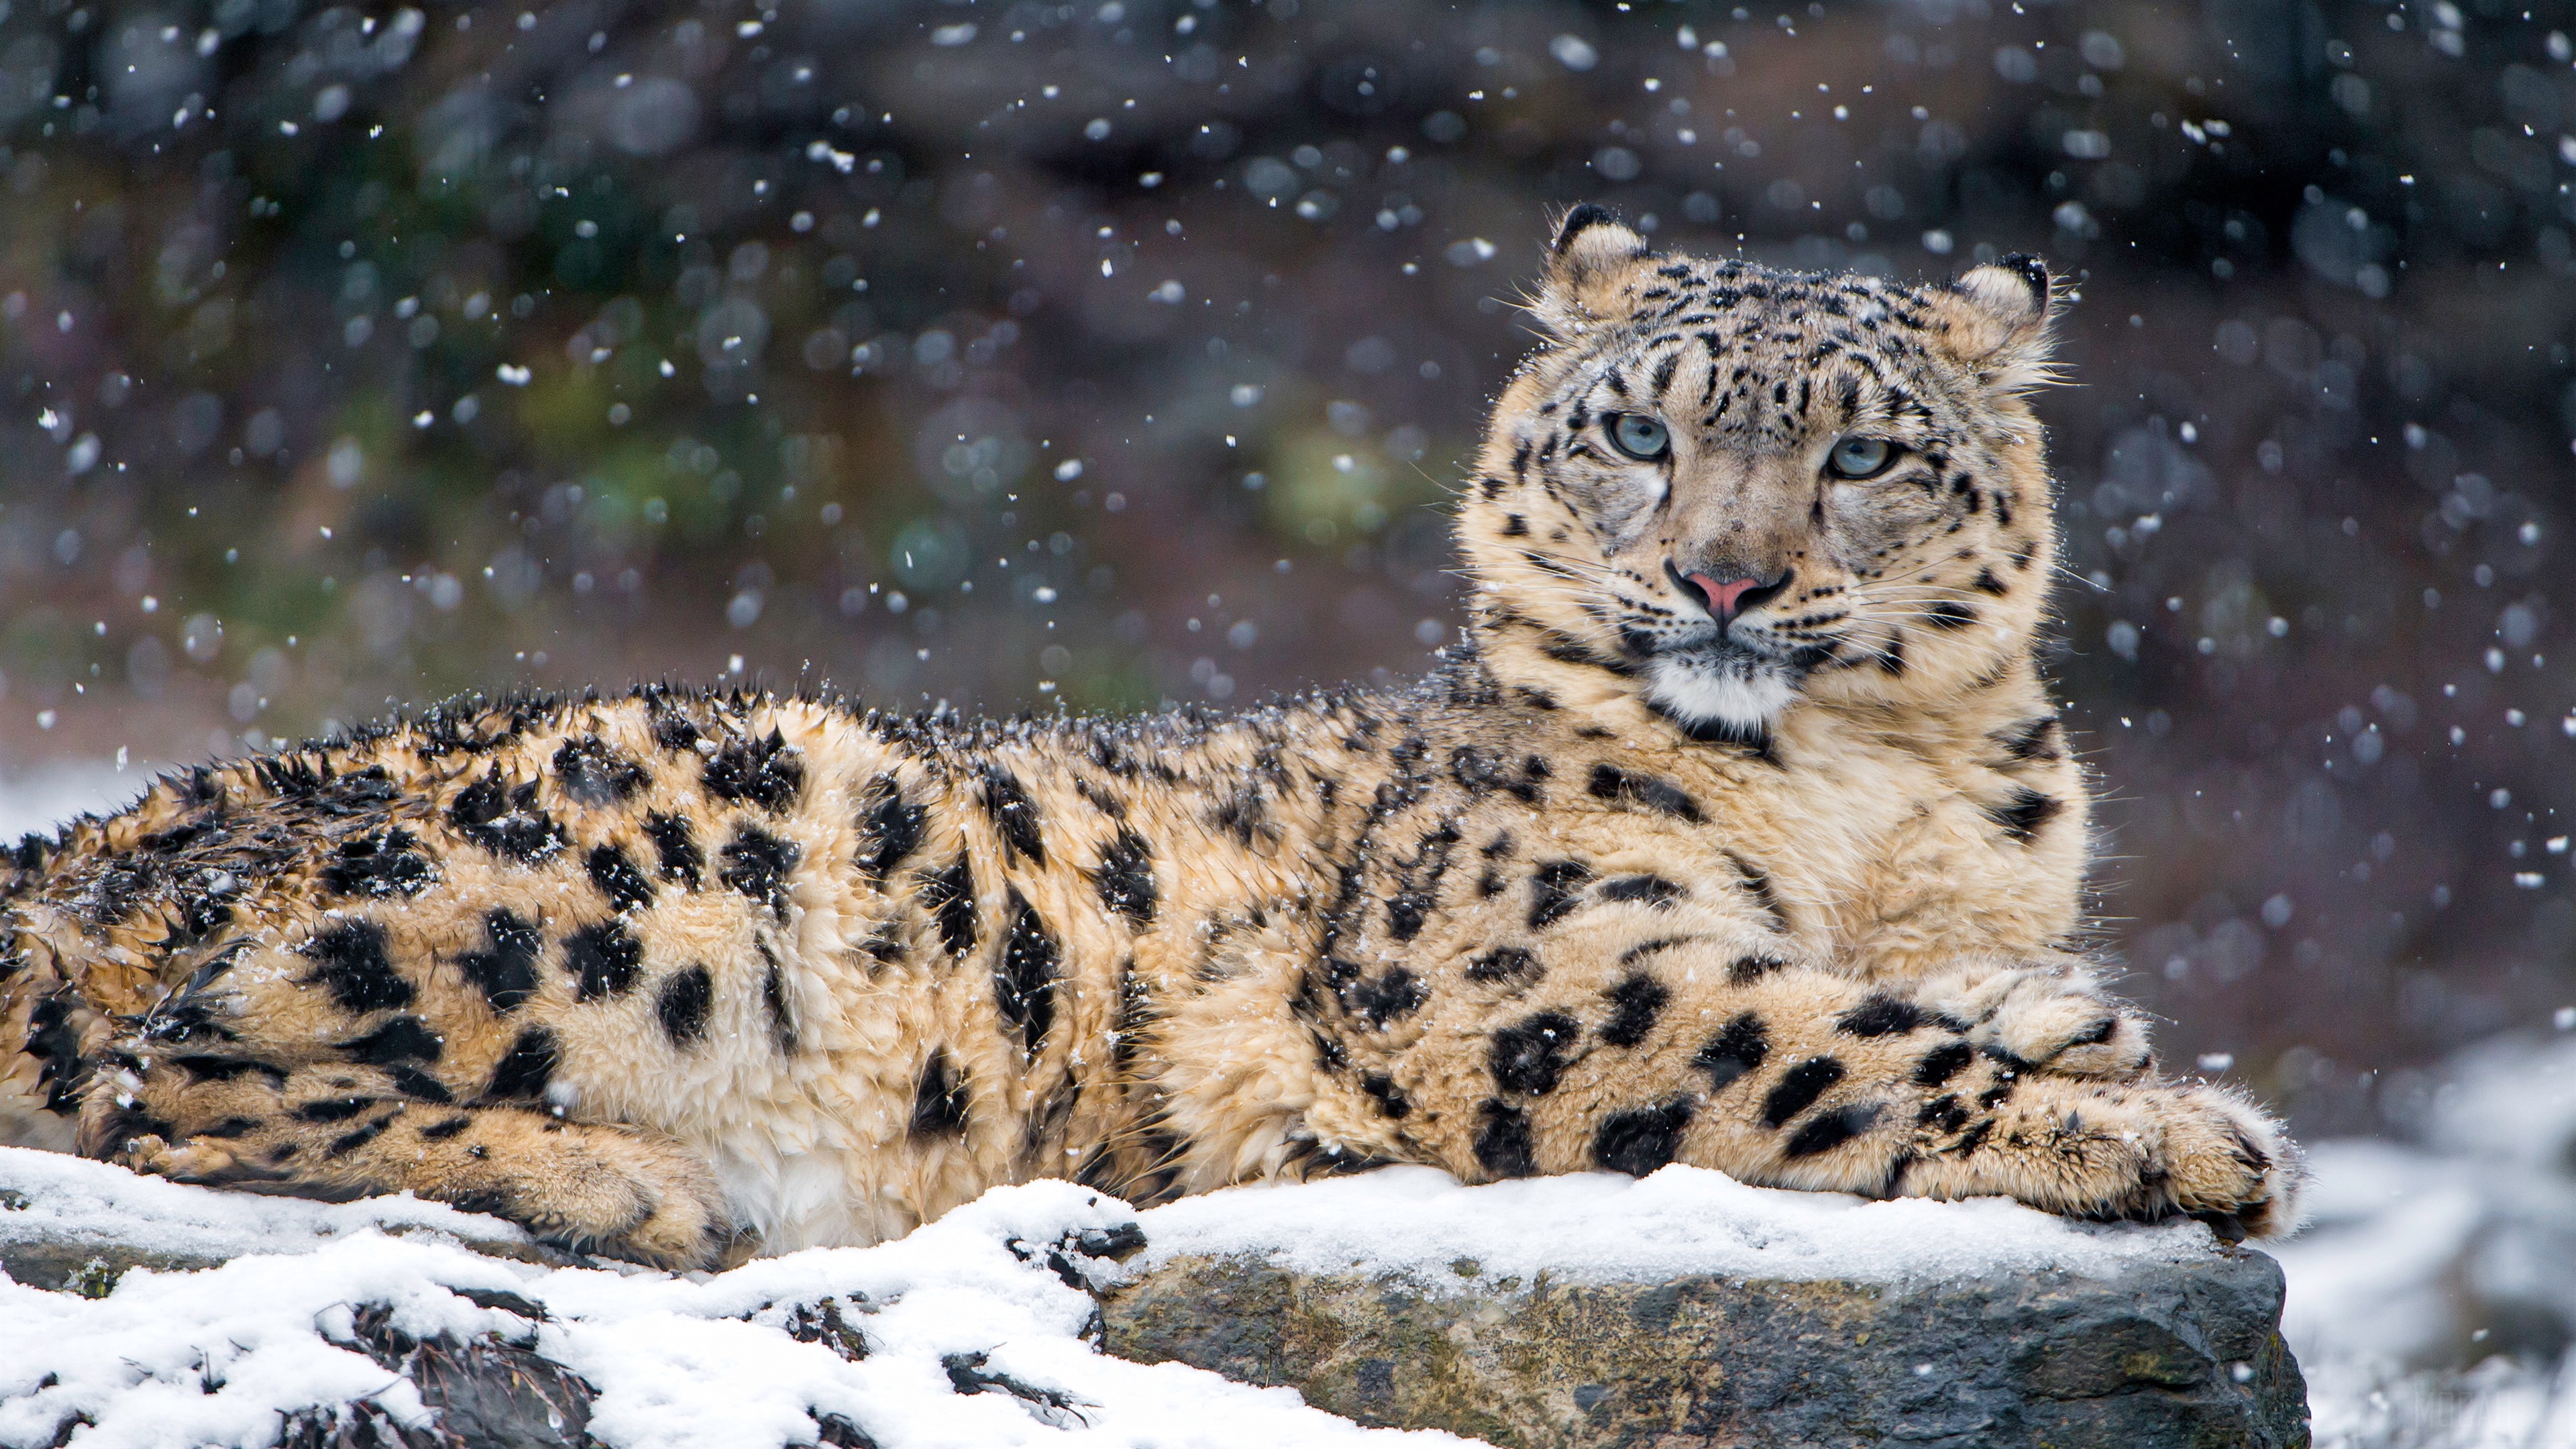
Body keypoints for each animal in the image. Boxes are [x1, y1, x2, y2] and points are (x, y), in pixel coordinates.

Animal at [0, 208, 2302, 1270]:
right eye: (1641, 434)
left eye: (1861, 456)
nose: (1724, 584)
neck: (1865, 800)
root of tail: (89, 832)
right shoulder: (1511, 964)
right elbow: (1812, 1039)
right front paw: (2173, 1134)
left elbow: (1932, 984)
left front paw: (2075, 1023)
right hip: (671, 853)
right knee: (150, 1073)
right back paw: (623, 1180)